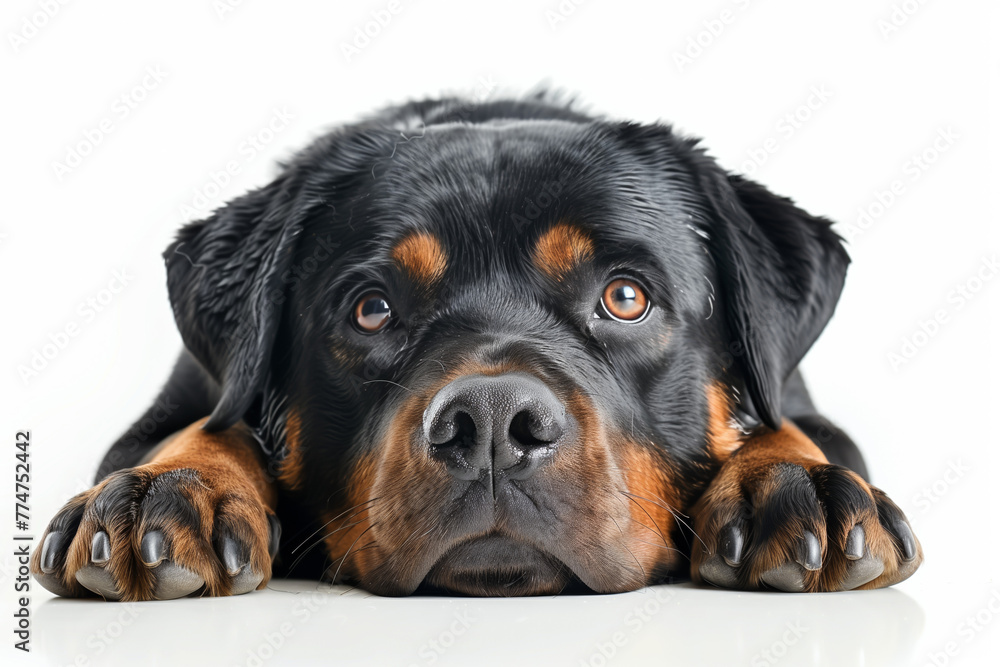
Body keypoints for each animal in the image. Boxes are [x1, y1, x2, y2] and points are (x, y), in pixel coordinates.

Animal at [31, 92, 920, 600]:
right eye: (372, 309)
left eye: (626, 297)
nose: (492, 421)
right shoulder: (178, 401)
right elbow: (204, 426)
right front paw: (175, 488)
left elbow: (788, 425)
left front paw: (793, 483)